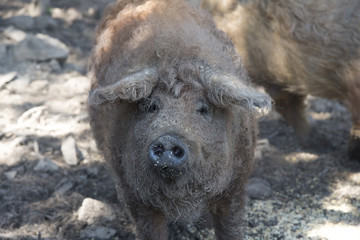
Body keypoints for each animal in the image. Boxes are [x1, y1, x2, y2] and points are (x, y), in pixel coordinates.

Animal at [88, 0, 272, 240]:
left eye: (203, 109)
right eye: (152, 106)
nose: (168, 139)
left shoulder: (236, 185)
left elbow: (230, 226)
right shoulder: (135, 195)